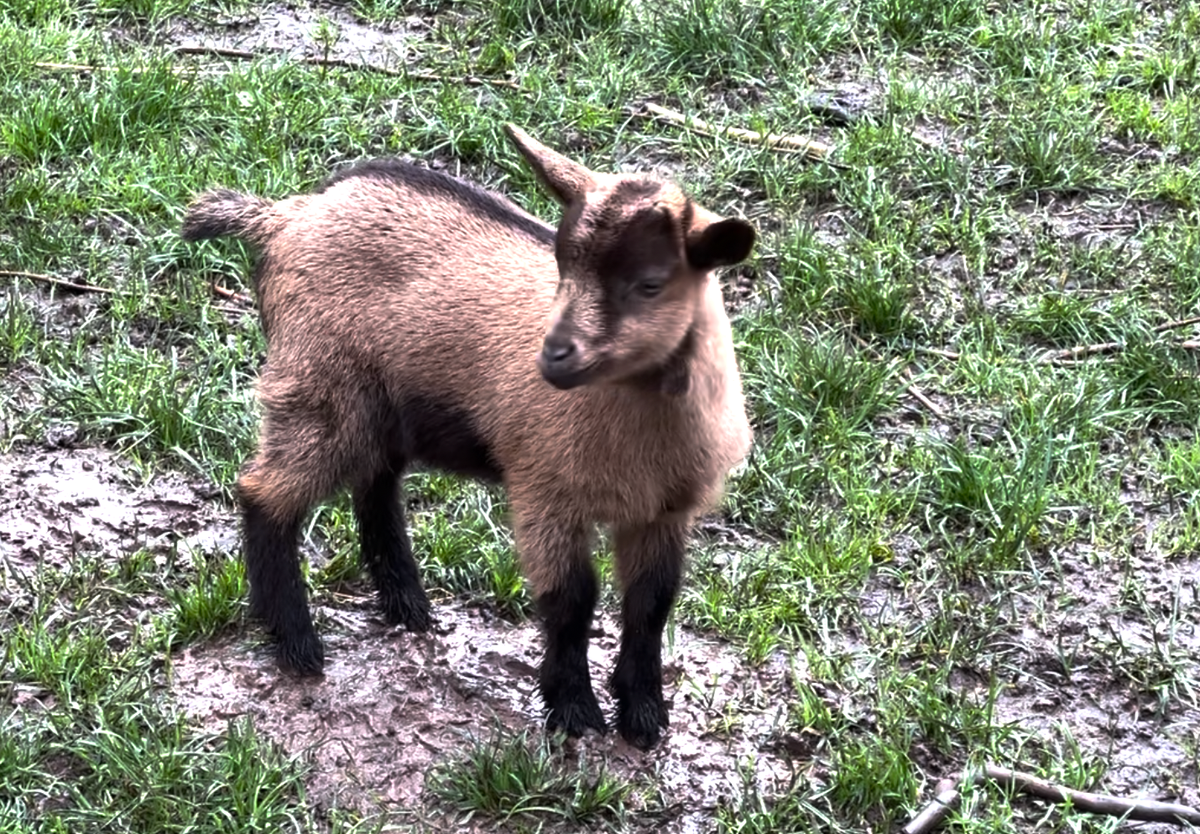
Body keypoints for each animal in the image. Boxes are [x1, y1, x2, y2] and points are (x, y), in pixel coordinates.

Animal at [180, 125, 748, 748]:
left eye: (650, 284)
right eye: (561, 263)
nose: (553, 355)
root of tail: (287, 215)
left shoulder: (664, 511)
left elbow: (651, 605)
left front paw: (644, 716)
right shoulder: (544, 492)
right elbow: (571, 601)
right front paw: (573, 712)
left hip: (379, 404)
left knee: (374, 486)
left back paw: (407, 605)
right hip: (319, 382)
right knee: (266, 492)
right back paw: (297, 644)